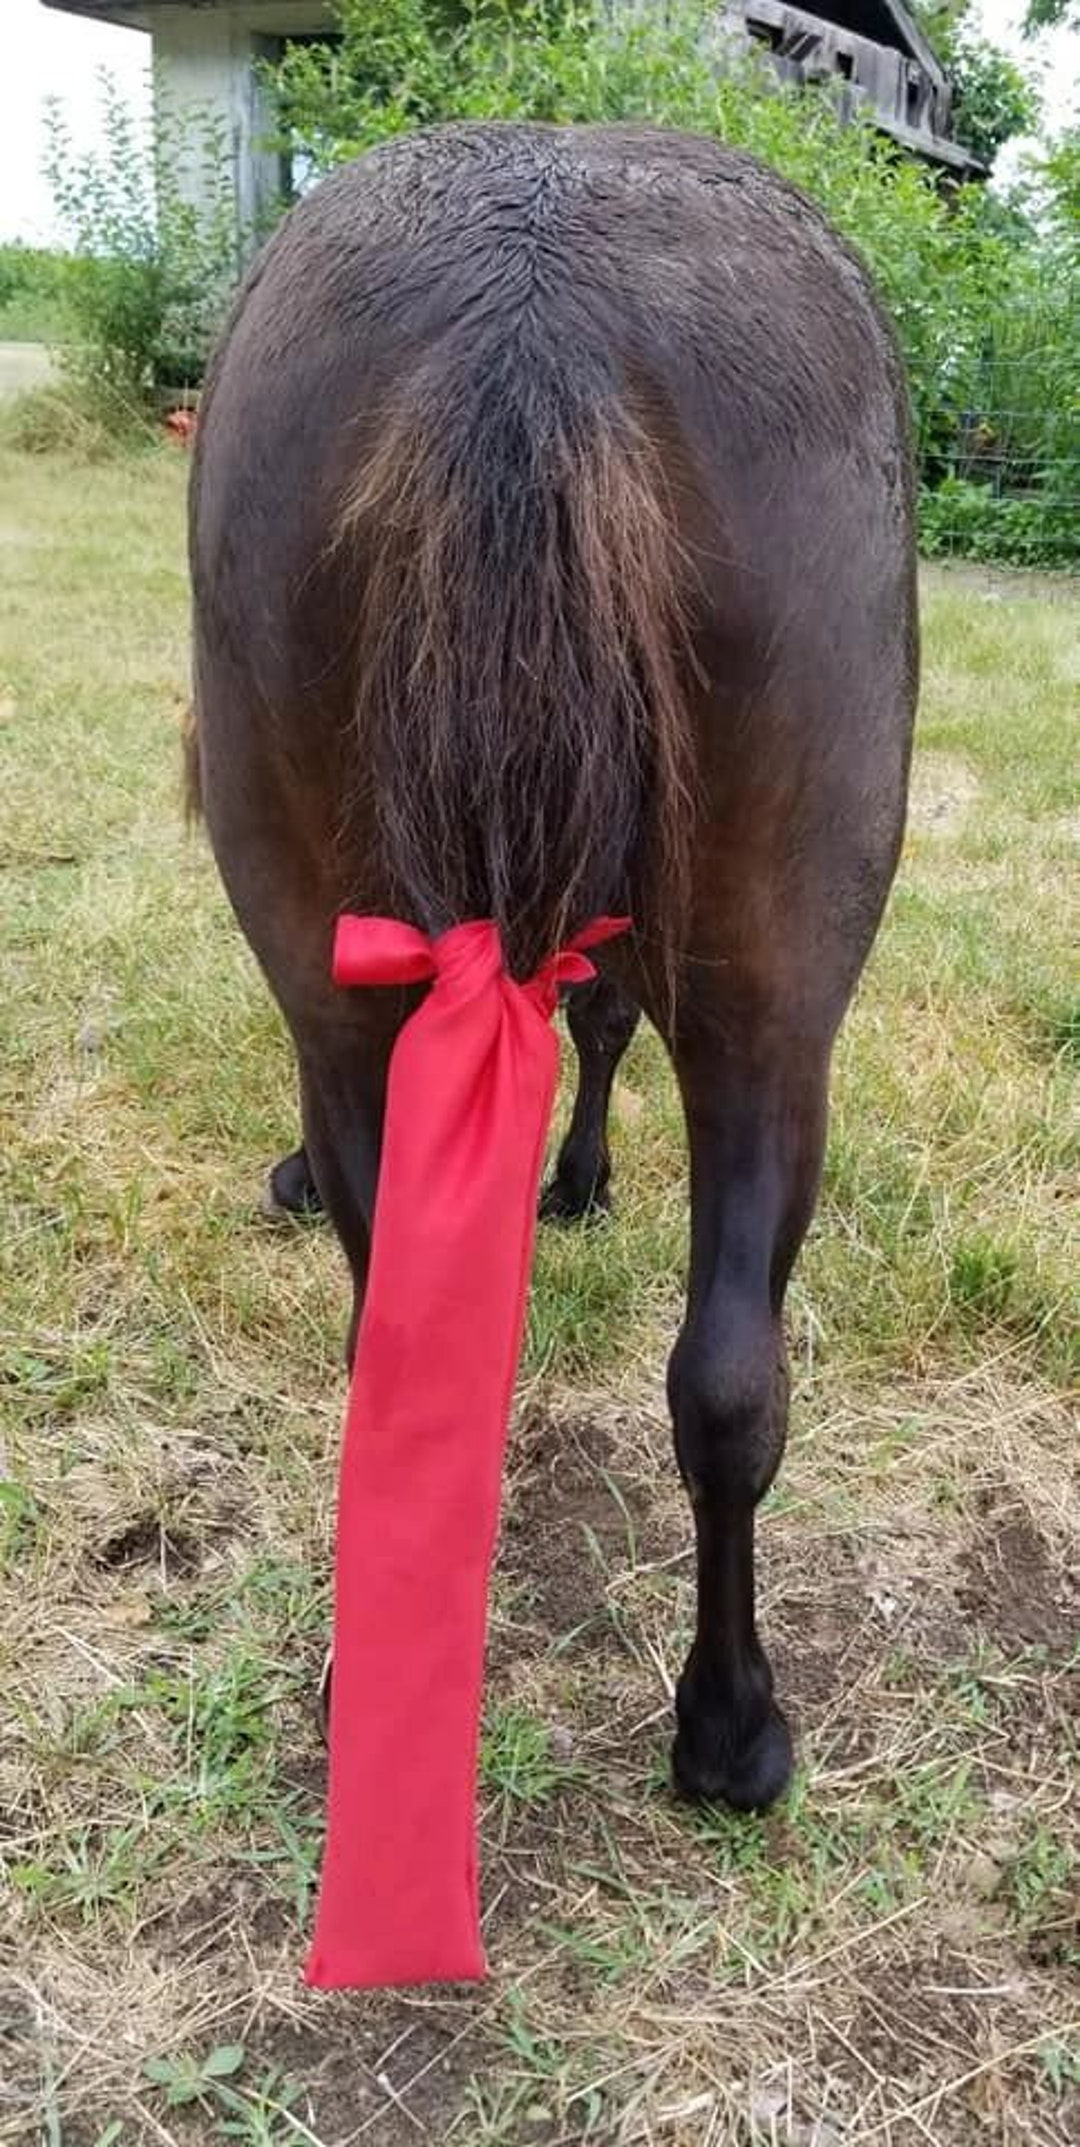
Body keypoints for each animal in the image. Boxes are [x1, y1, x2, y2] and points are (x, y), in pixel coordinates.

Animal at [188, 122, 916, 1819]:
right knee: (731, 1374)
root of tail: (536, 326)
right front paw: (576, 1176)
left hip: (355, 990)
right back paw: (732, 1727)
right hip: (775, 999)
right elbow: (601, 1014)